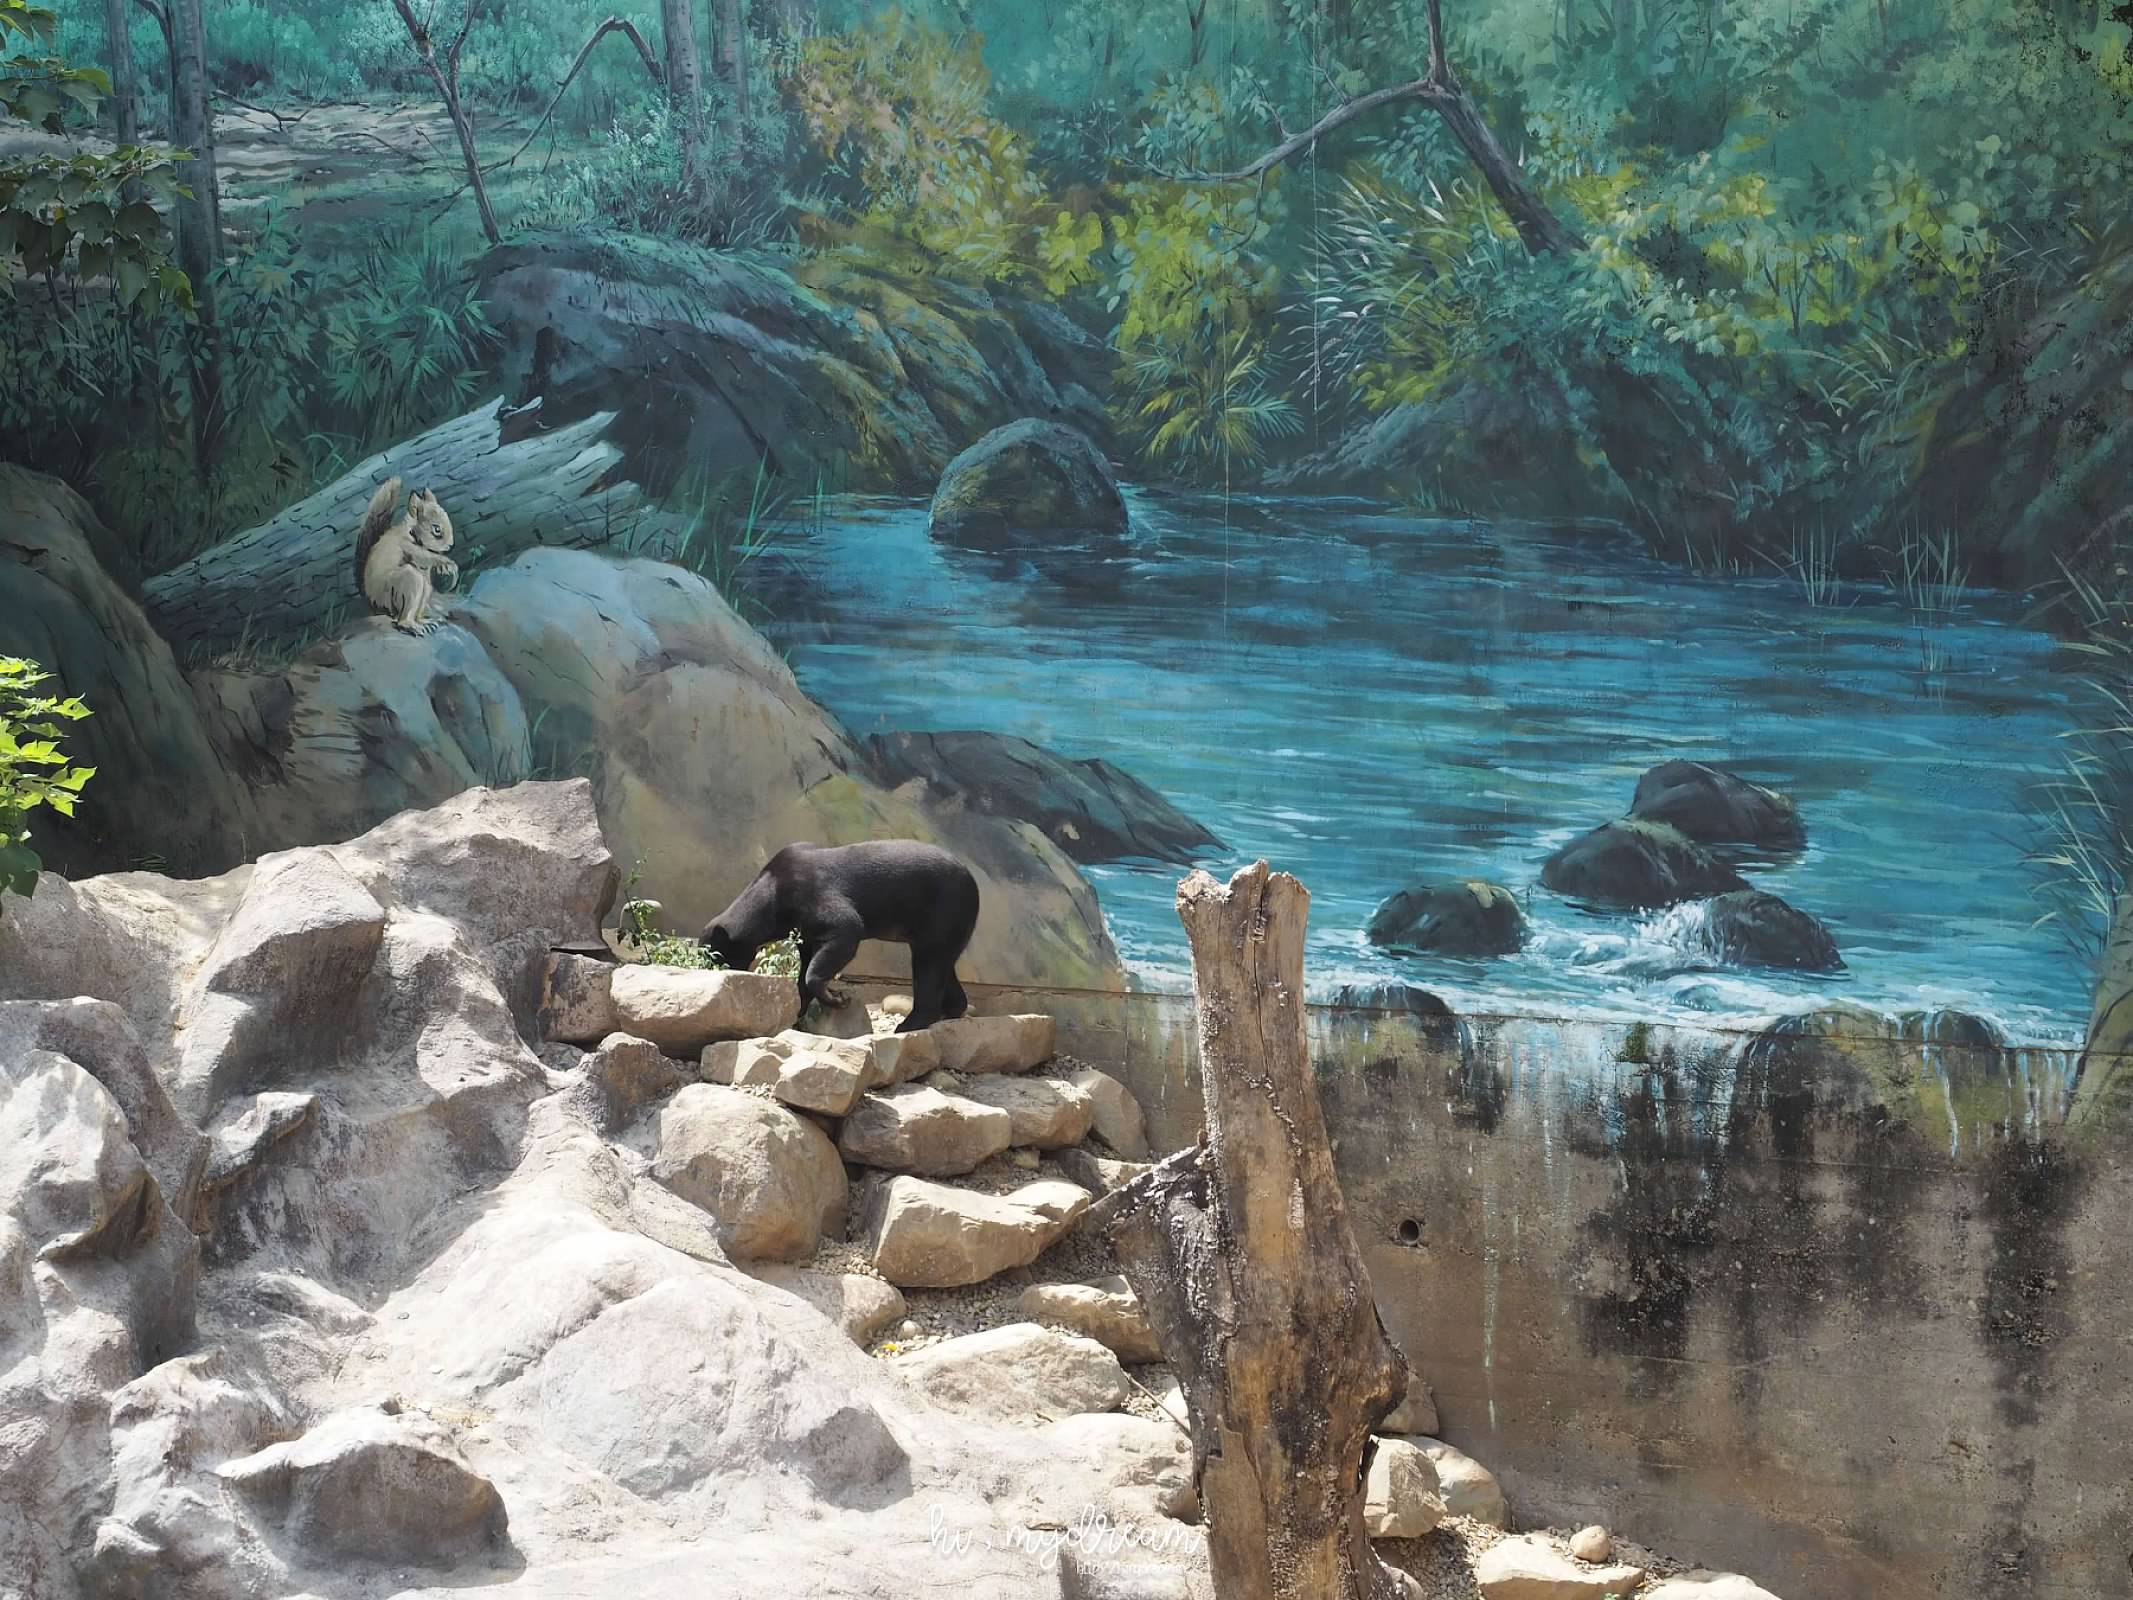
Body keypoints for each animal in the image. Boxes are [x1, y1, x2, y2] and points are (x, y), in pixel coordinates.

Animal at [699, 844, 981, 1032]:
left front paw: (838, 999)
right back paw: (951, 1010)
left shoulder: (811, 894)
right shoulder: (805, 932)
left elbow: (847, 929)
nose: (711, 970)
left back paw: (907, 1025)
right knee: (942, 965)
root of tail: (972, 882)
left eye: (716, 958)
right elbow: (806, 965)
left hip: (943, 913)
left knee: (929, 966)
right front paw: (797, 1014)